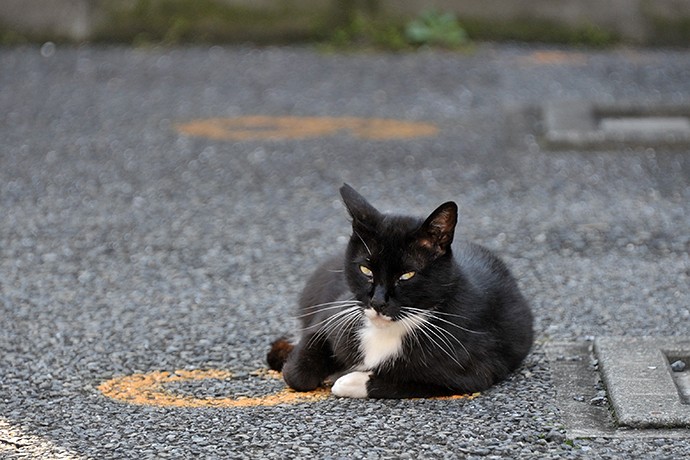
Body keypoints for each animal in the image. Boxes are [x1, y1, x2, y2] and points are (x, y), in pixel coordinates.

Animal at [264, 184, 532, 398]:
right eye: (365, 269)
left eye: (407, 275)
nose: (378, 302)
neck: (387, 331)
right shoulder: (334, 313)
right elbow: (297, 374)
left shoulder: (474, 371)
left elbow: (407, 381)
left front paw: (348, 380)